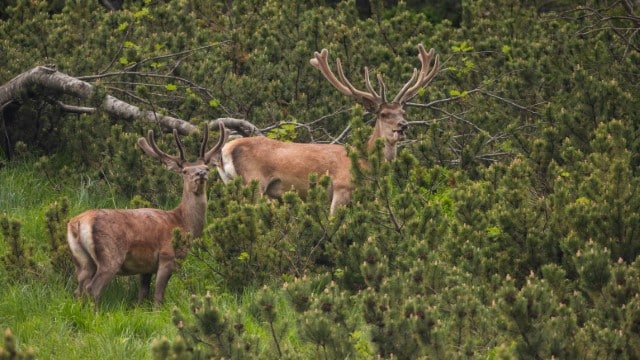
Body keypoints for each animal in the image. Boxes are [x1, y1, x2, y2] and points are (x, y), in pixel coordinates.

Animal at [67, 122, 228, 308]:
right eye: (185, 171)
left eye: (207, 168)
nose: (200, 174)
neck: (182, 223)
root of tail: (78, 223)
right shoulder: (167, 256)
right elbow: (158, 296)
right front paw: (159, 311)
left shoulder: (146, 267)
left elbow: (142, 295)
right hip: (110, 255)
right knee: (93, 289)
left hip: (82, 261)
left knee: (78, 290)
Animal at [216, 44, 440, 214]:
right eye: (384, 114)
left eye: (403, 112)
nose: (403, 126)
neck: (365, 163)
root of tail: (226, 149)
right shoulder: (341, 187)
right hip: (254, 182)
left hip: (232, 184)